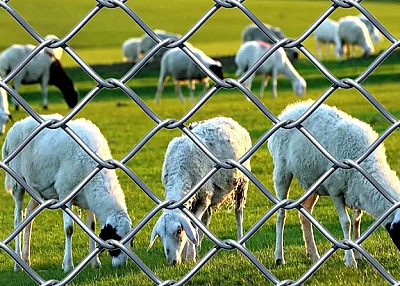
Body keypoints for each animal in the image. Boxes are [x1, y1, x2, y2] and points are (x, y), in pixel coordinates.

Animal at [3, 114, 133, 272]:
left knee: (28, 215)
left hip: (37, 189)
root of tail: (15, 127)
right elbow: (69, 229)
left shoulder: (87, 198)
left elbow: (91, 227)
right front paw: (68, 265)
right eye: (115, 239)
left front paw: (95, 263)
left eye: (130, 242)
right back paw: (17, 264)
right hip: (17, 182)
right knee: (17, 218)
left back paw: (26, 259)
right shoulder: (65, 193)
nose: (121, 266)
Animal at [148, 116, 252, 266]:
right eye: (160, 236)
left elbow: (194, 225)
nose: (172, 262)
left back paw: (240, 247)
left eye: (178, 231)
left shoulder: (203, 196)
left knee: (239, 214)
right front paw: (190, 254)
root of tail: (228, 119)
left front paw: (189, 256)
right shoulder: (194, 199)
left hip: (241, 183)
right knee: (207, 217)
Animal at [268, 100, 400, 268]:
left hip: (312, 180)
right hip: (282, 169)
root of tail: (291, 109)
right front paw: (350, 261)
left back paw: (313, 254)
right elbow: (346, 222)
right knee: (281, 213)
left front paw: (358, 255)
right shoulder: (335, 190)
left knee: (304, 211)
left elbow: (356, 220)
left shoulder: (355, 189)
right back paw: (279, 257)